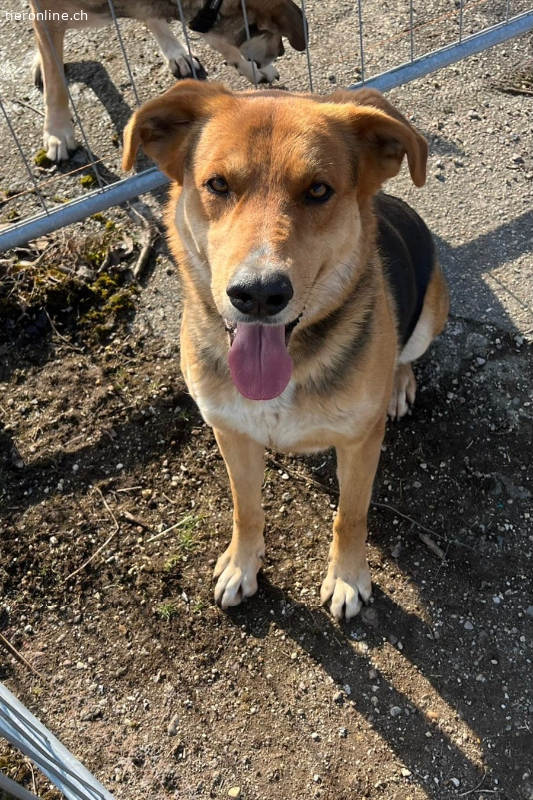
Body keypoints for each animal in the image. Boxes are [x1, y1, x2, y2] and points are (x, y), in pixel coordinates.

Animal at [29, 0, 306, 161]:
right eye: (272, 32)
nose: (282, 51)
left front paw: (249, 67)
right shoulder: (47, 15)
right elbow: (55, 83)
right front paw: (57, 131)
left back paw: (175, 51)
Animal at [122, 81, 449, 620]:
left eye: (318, 190)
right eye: (217, 184)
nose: (258, 294)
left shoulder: (361, 443)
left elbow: (350, 516)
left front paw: (347, 577)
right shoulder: (231, 433)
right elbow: (246, 508)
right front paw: (242, 564)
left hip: (433, 309)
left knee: (408, 353)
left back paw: (399, 384)